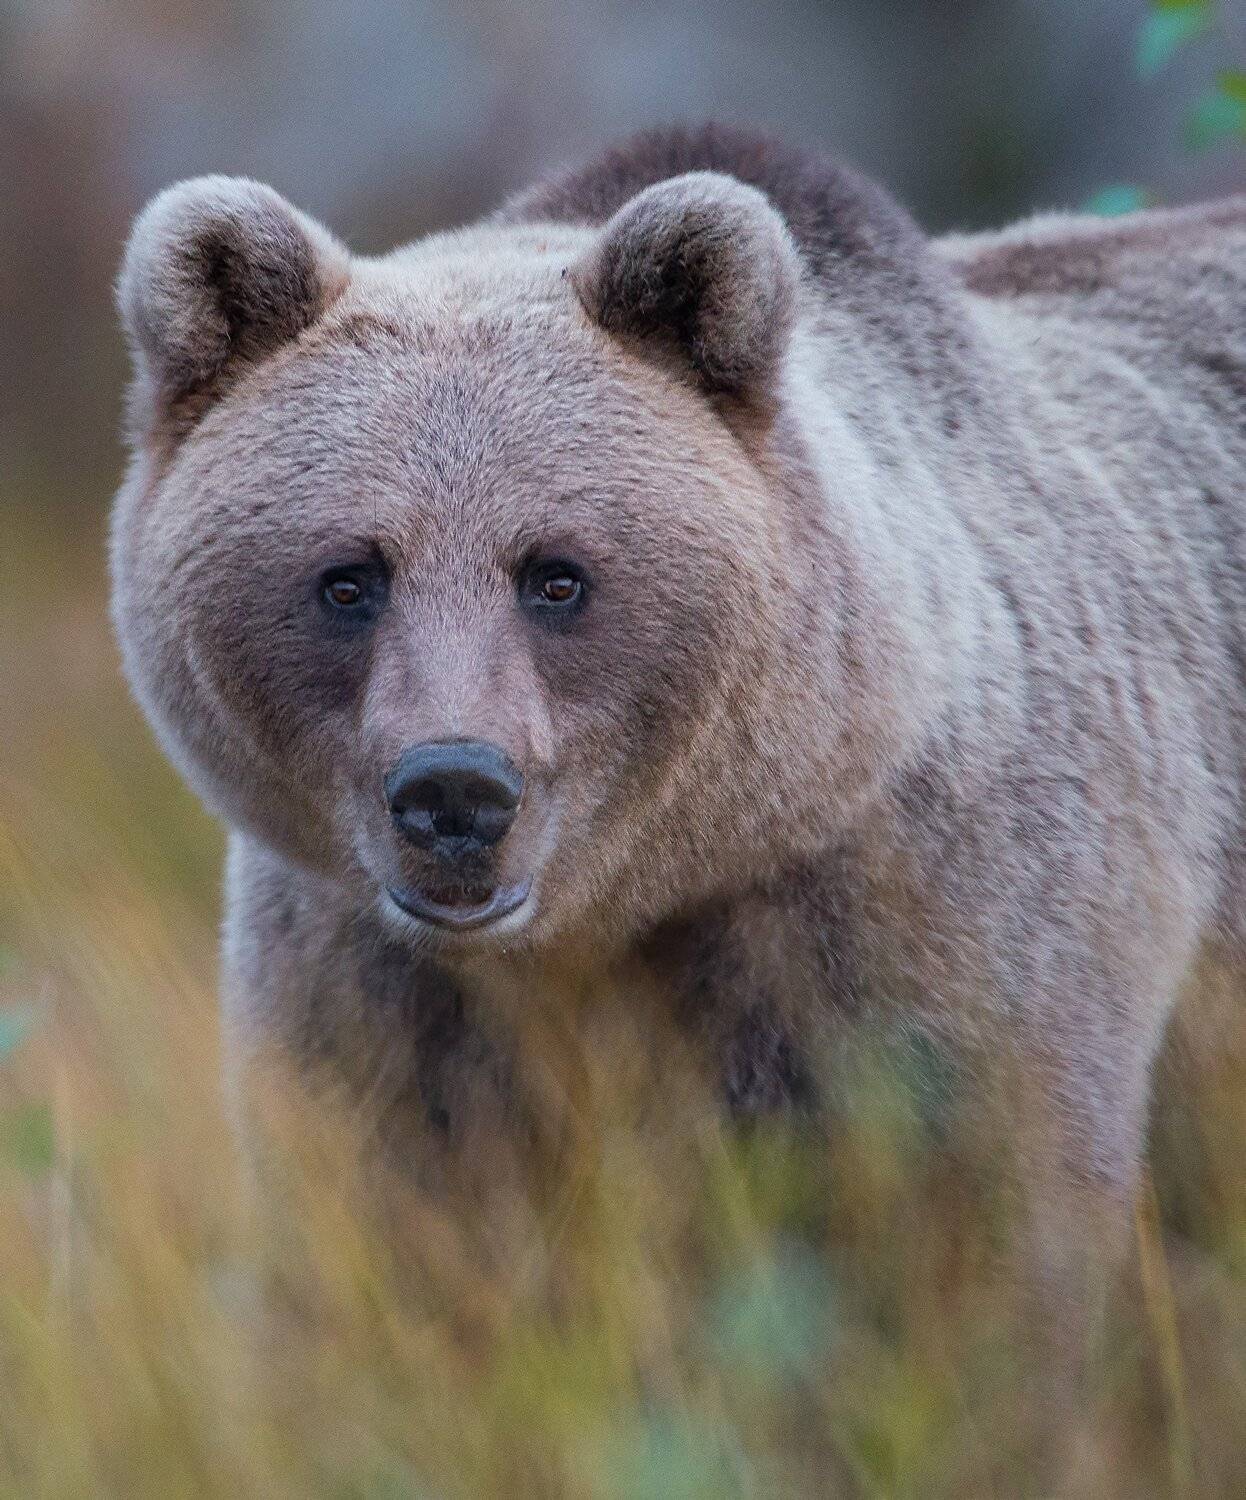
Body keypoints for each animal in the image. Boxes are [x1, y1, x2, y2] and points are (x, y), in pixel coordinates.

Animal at [111, 123, 1246, 1398]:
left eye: (556, 573)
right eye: (348, 577)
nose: (454, 792)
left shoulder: (933, 931)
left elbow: (978, 1257)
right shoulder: (373, 999)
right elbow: (397, 1255)